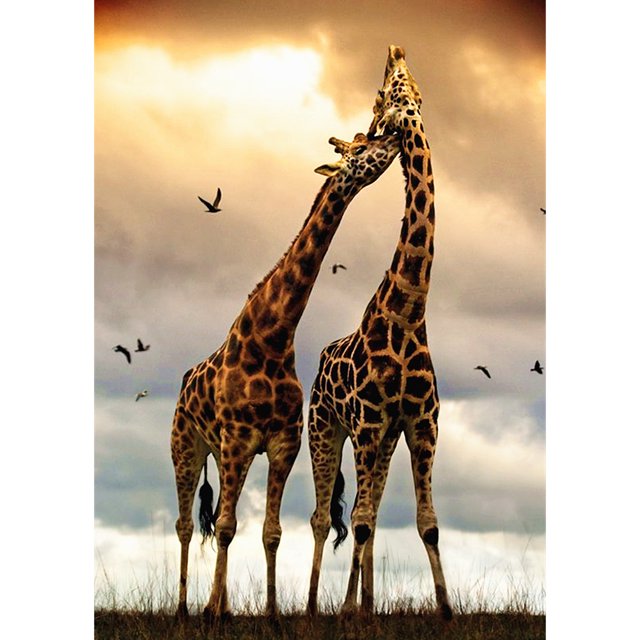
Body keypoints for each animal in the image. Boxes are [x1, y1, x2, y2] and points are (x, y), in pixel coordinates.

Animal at [170, 131, 400, 623]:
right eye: (358, 148)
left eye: (365, 137)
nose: (392, 136)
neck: (272, 339)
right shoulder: (239, 440)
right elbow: (225, 526)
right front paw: (212, 615)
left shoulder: (281, 443)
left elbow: (268, 531)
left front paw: (271, 615)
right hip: (187, 446)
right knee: (185, 524)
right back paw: (184, 610)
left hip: (220, 453)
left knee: (219, 516)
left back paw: (219, 606)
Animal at [307, 46, 453, 620]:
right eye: (388, 91)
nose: (396, 51)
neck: (407, 312)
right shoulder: (368, 421)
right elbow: (362, 521)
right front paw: (348, 613)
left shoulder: (420, 422)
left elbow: (427, 524)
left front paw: (446, 611)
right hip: (329, 428)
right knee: (329, 517)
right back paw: (318, 607)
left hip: (383, 439)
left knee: (365, 510)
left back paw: (363, 603)